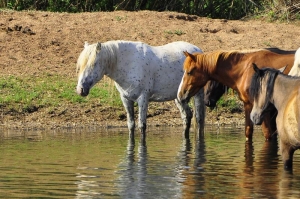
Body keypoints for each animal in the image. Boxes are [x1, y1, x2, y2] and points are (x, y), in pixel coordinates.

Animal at [76, 40, 205, 140]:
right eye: (80, 65)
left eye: (94, 64)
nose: (80, 90)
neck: (128, 64)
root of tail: (197, 50)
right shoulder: (126, 99)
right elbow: (131, 125)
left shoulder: (143, 99)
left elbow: (142, 125)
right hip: (179, 97)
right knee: (187, 116)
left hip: (198, 94)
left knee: (199, 119)